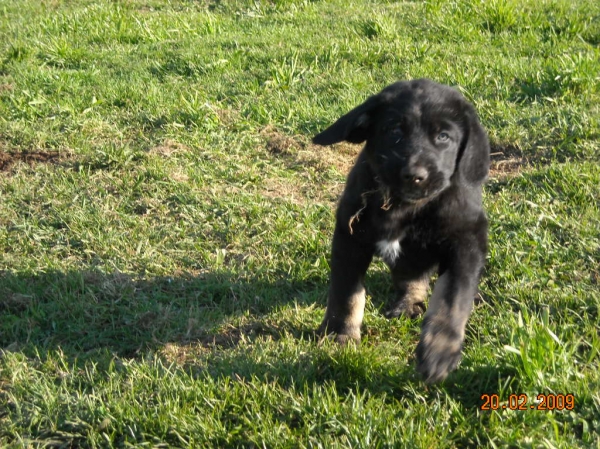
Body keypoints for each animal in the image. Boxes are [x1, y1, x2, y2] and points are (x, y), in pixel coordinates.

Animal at [312, 78, 490, 382]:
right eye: (394, 130)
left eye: (444, 136)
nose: (414, 175)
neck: (403, 205)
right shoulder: (350, 238)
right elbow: (346, 293)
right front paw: (340, 335)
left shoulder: (466, 242)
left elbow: (452, 299)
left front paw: (439, 352)